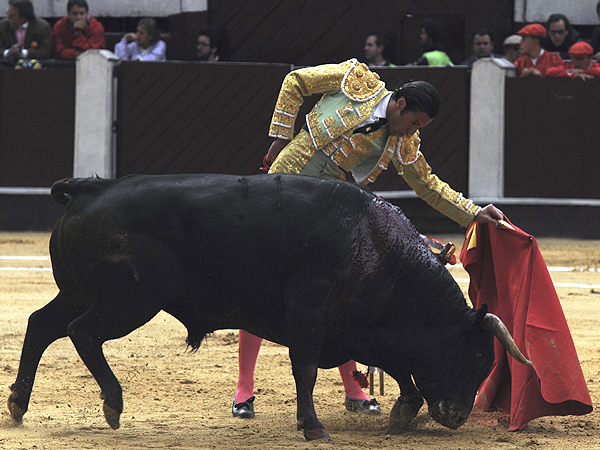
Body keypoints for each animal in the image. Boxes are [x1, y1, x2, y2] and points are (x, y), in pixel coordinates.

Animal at [7, 173, 528, 440]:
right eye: (476, 357)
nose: (458, 415)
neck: (377, 248)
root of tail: (89, 190)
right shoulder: (311, 312)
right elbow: (306, 368)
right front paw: (314, 428)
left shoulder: (361, 327)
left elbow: (399, 366)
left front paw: (401, 411)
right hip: (129, 301)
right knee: (81, 332)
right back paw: (113, 404)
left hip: (80, 292)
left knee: (40, 324)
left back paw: (17, 404)